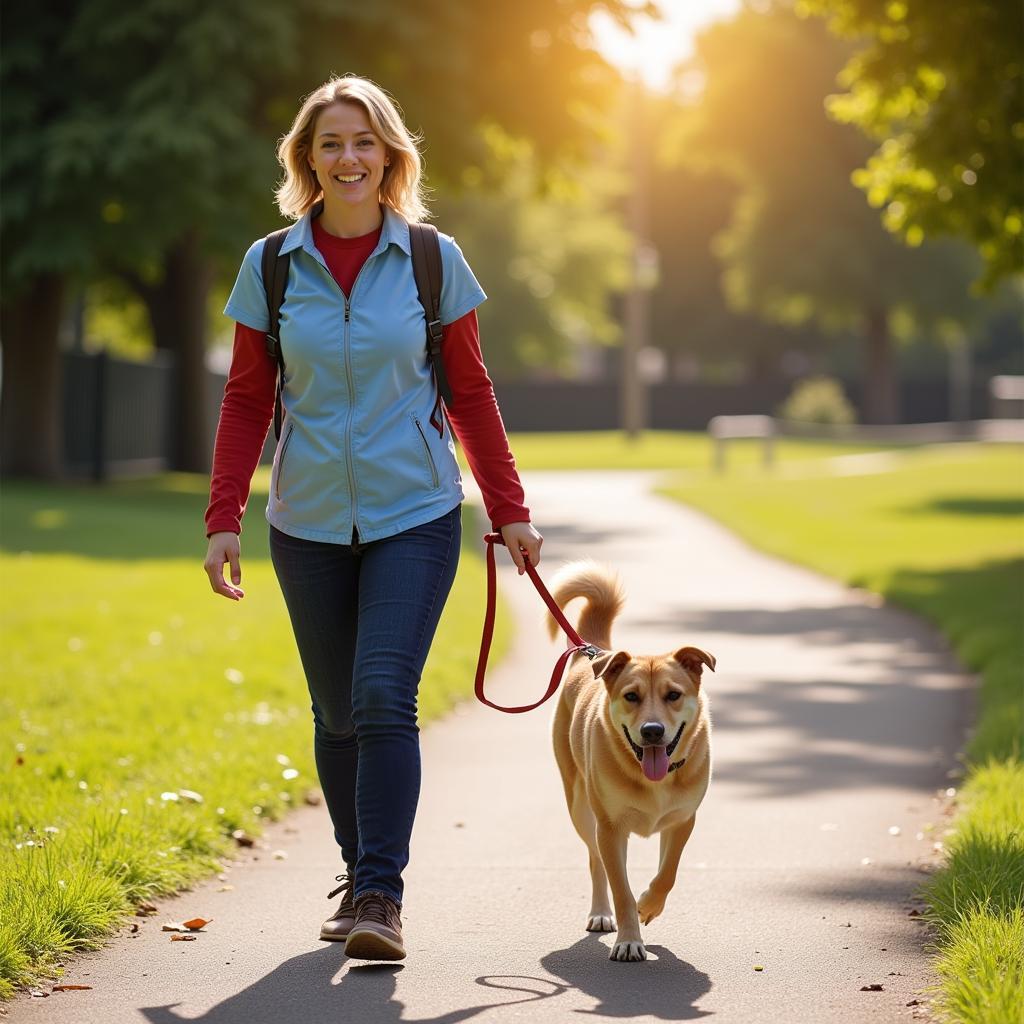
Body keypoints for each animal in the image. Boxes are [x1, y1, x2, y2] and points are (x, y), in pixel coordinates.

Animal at [552, 561, 712, 958]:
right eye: (631, 696)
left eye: (673, 694)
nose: (653, 731)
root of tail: (596, 653)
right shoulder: (610, 828)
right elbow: (620, 888)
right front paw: (628, 939)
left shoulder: (682, 820)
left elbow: (668, 872)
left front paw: (649, 906)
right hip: (580, 807)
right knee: (595, 861)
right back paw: (600, 913)